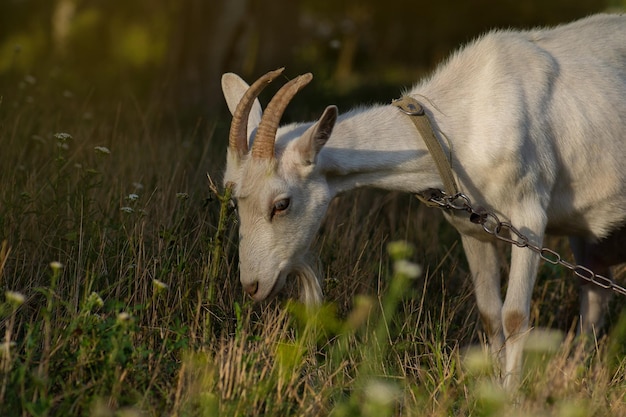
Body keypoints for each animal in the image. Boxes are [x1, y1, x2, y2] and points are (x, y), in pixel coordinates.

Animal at [221, 15, 624, 386]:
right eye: (234, 199)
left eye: (281, 204)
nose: (252, 286)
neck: (457, 126)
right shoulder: (472, 226)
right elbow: (489, 312)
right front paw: (488, 388)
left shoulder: (529, 218)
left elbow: (514, 316)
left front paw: (509, 396)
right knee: (594, 290)